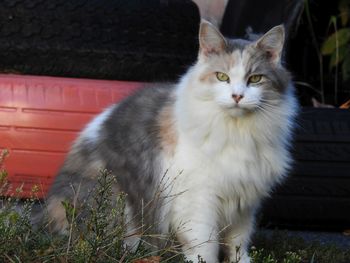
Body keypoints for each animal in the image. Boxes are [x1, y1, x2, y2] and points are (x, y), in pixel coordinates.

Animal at [41, 19, 298, 262]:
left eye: (255, 79)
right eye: (222, 77)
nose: (237, 96)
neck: (238, 132)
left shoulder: (244, 204)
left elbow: (238, 244)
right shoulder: (198, 200)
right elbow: (204, 246)